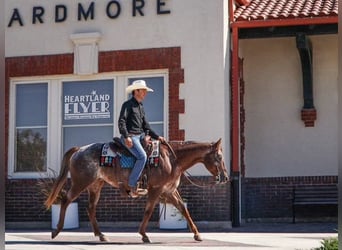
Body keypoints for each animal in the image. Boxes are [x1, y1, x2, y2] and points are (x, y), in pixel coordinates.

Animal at [44, 138, 228, 243]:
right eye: (219, 157)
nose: (225, 177)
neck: (172, 159)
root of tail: (79, 150)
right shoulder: (157, 189)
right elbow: (148, 210)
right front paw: (144, 235)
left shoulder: (169, 191)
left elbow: (183, 209)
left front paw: (197, 235)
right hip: (81, 183)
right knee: (66, 200)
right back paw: (56, 231)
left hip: (96, 185)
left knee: (90, 208)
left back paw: (101, 235)